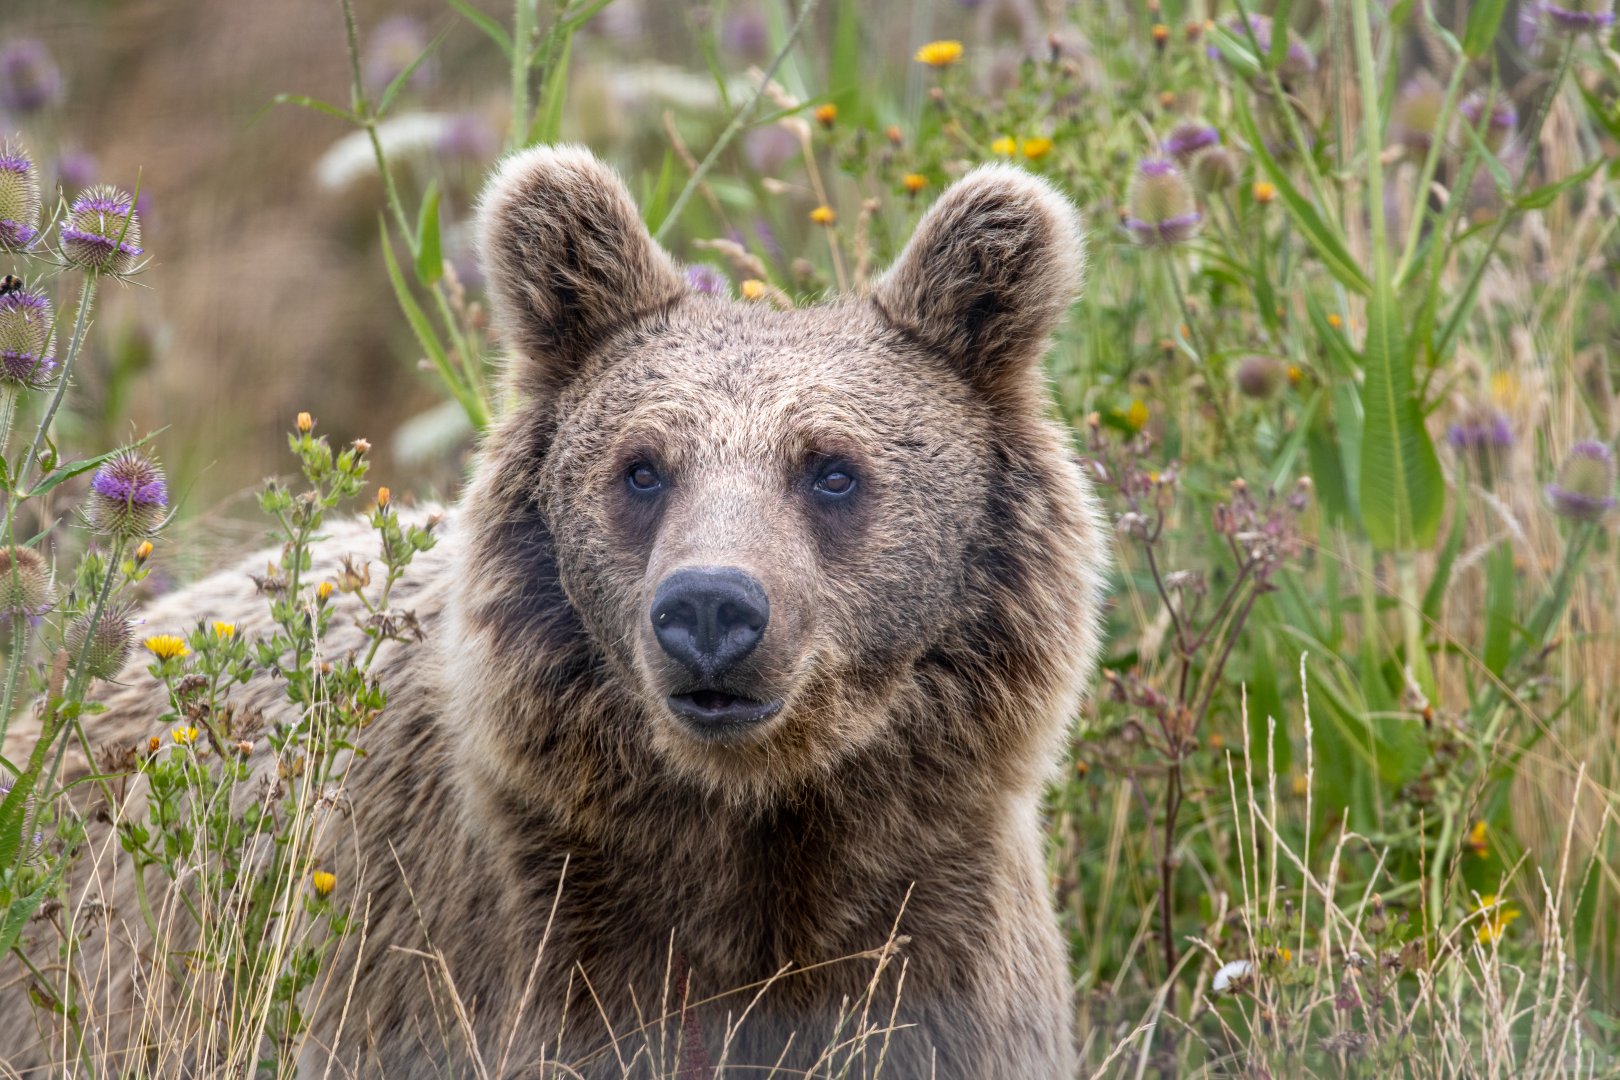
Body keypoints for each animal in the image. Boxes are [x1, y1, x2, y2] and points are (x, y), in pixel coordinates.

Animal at [0, 145, 1108, 1078]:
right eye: (642, 467)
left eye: (833, 469)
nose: (711, 608)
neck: (753, 818)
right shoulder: (519, 948)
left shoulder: (938, 937)